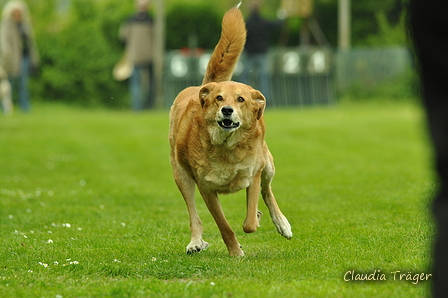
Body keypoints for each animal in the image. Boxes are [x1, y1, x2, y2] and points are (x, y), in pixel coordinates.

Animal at [168, 5, 290, 256]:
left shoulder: (253, 174)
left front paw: (256, 218)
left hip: (268, 164)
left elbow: (249, 221)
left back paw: (281, 223)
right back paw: (196, 242)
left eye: (240, 99)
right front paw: (235, 252)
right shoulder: (206, 189)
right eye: (219, 98)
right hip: (181, 176)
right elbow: (223, 225)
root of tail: (203, 85)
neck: (227, 148)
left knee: (268, 191)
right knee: (194, 215)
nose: (227, 110)